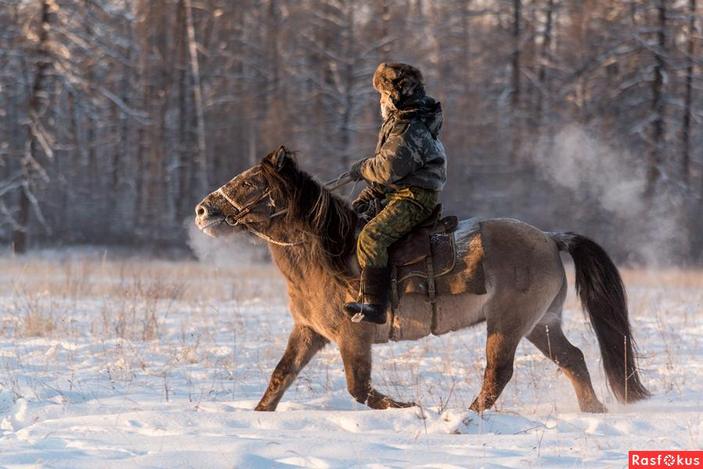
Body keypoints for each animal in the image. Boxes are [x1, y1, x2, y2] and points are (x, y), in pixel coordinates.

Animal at [194, 146, 649, 413]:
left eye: (250, 182)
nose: (202, 211)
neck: (329, 254)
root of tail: (551, 238)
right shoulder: (308, 332)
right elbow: (280, 376)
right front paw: (259, 417)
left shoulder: (352, 337)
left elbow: (359, 389)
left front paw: (406, 406)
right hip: (541, 325)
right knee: (573, 359)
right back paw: (594, 410)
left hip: (508, 325)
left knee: (498, 374)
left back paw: (466, 418)